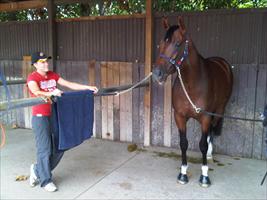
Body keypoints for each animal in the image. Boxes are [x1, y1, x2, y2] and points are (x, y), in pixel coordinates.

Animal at [153, 16, 234, 187]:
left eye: (177, 43)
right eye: (161, 43)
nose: (157, 73)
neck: (192, 83)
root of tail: (222, 62)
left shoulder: (205, 117)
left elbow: (202, 144)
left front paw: (204, 176)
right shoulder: (179, 116)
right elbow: (184, 143)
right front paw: (183, 174)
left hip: (218, 111)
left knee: (211, 130)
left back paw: (209, 154)